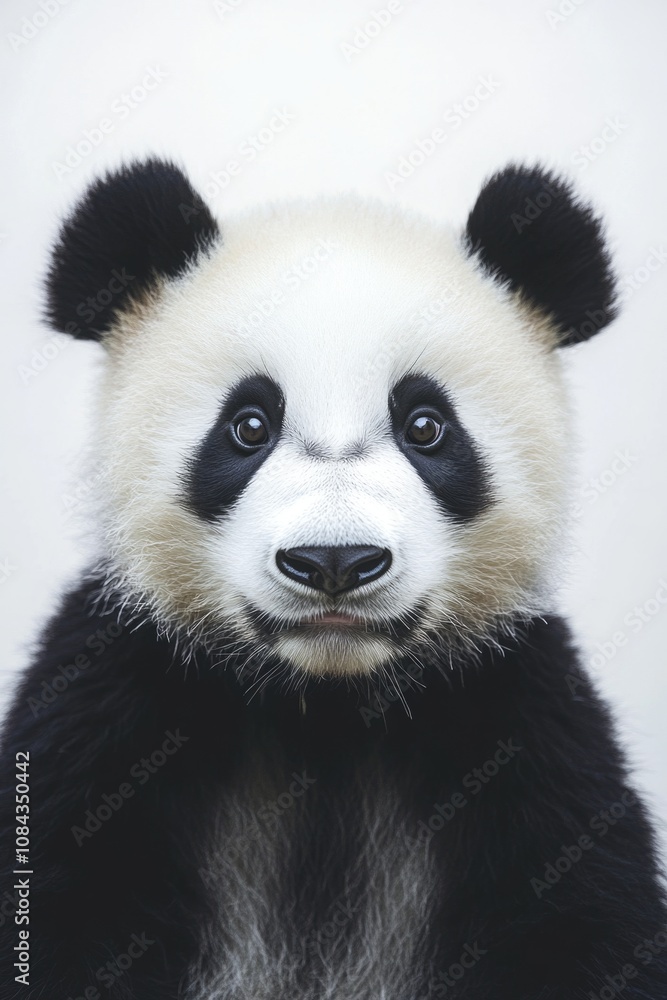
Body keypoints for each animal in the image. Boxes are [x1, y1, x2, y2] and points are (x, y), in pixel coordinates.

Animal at [0, 157, 665, 1000]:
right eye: (248, 425)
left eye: (426, 426)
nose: (334, 561)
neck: (324, 710)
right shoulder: (107, 709)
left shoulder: (526, 728)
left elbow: (584, 925)